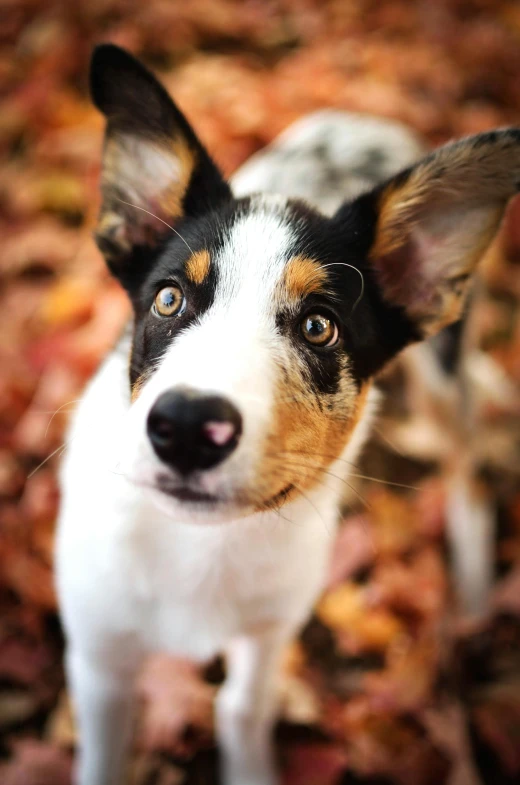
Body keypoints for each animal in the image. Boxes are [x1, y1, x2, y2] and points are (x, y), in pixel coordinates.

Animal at [57, 41, 520, 784]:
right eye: (167, 298)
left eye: (318, 327)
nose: (187, 427)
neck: (200, 549)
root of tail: (364, 117)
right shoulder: (98, 660)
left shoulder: (272, 628)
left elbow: (243, 708)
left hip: (443, 377)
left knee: (469, 478)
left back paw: (478, 604)